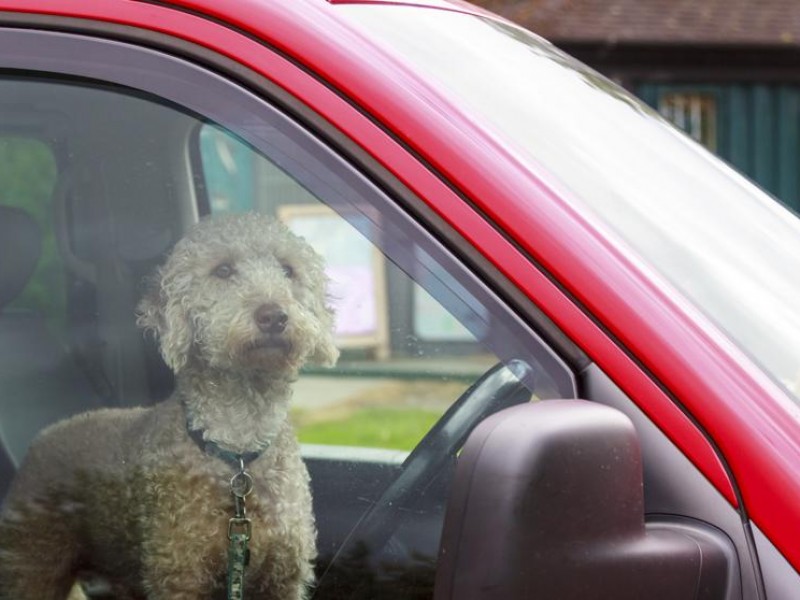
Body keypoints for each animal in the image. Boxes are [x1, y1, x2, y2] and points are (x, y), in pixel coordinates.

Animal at [0, 216, 340, 600]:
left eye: (288, 270)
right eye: (223, 270)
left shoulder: (284, 577)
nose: (274, 316)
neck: (237, 449)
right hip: (31, 562)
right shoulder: (178, 574)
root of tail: (41, 437)